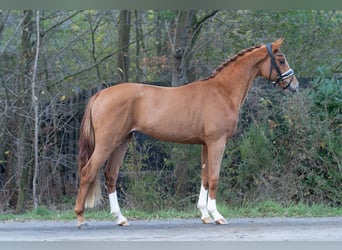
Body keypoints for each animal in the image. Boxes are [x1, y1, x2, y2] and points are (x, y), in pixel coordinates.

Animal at [73, 38, 298, 228]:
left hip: (122, 142)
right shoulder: (217, 142)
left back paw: (120, 218)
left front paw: (205, 215)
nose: (294, 85)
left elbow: (205, 178)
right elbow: (214, 177)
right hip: (107, 143)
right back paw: (81, 218)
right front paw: (217, 216)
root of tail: (100, 94)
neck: (222, 91)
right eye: (281, 59)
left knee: (111, 175)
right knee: (87, 172)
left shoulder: (206, 144)